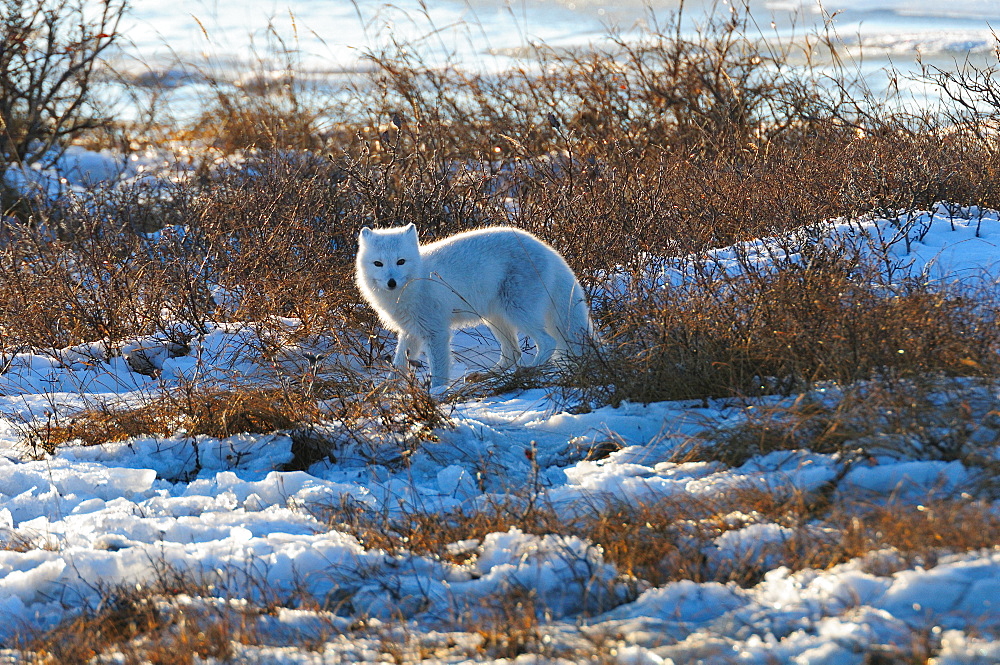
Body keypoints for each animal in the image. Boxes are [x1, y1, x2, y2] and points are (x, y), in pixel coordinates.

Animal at [358, 224, 592, 386]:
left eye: (401, 261)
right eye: (378, 263)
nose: (391, 282)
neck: (417, 279)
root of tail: (549, 250)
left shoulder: (436, 332)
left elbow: (439, 370)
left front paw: (436, 394)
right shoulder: (411, 330)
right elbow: (398, 365)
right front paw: (383, 393)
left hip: (517, 311)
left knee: (547, 342)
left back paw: (528, 370)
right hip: (496, 318)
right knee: (513, 353)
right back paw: (487, 375)